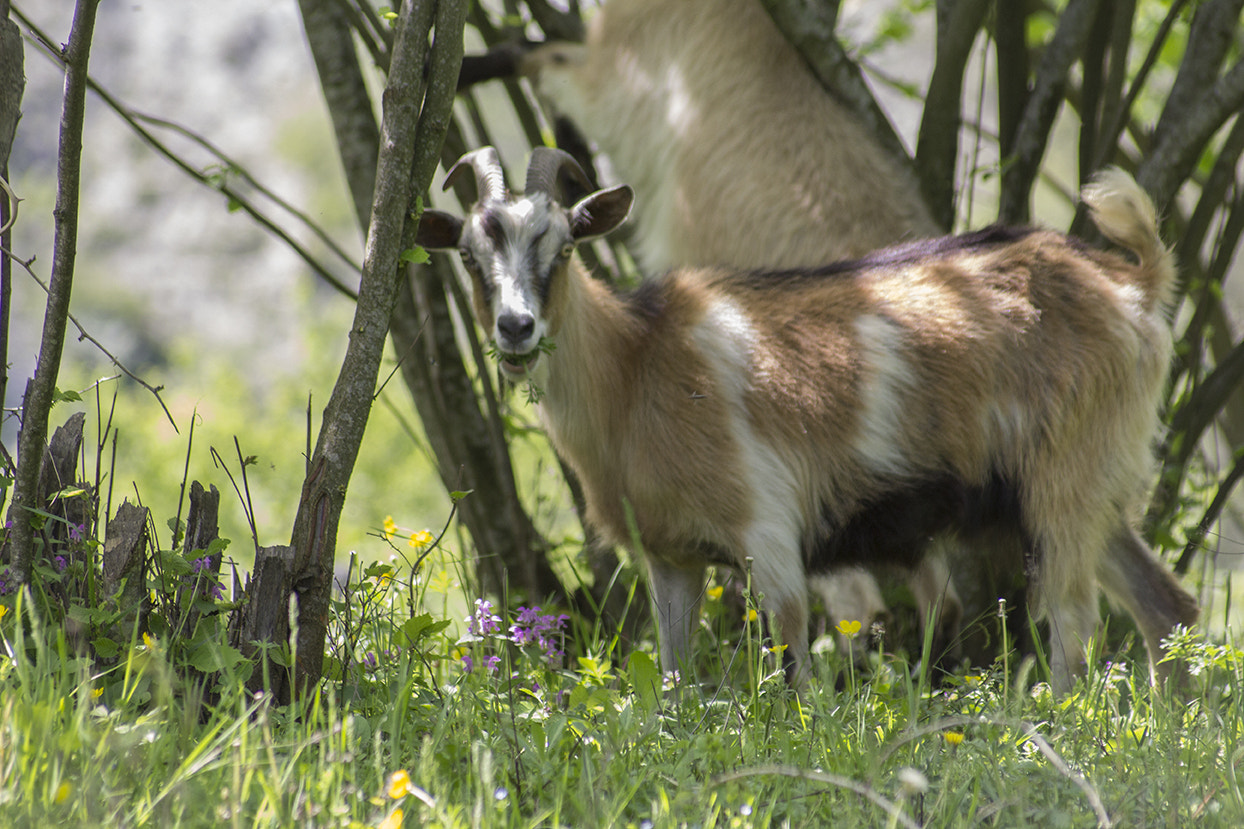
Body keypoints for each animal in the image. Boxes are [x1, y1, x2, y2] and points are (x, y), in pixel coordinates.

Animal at [417, 146, 1198, 692]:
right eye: (469, 256)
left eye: (564, 245)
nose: (516, 329)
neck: (633, 368)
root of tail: (1131, 285)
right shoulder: (672, 558)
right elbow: (671, 681)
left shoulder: (768, 534)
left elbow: (793, 677)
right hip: (1086, 488)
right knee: (1168, 608)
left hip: (1065, 482)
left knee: (1073, 624)